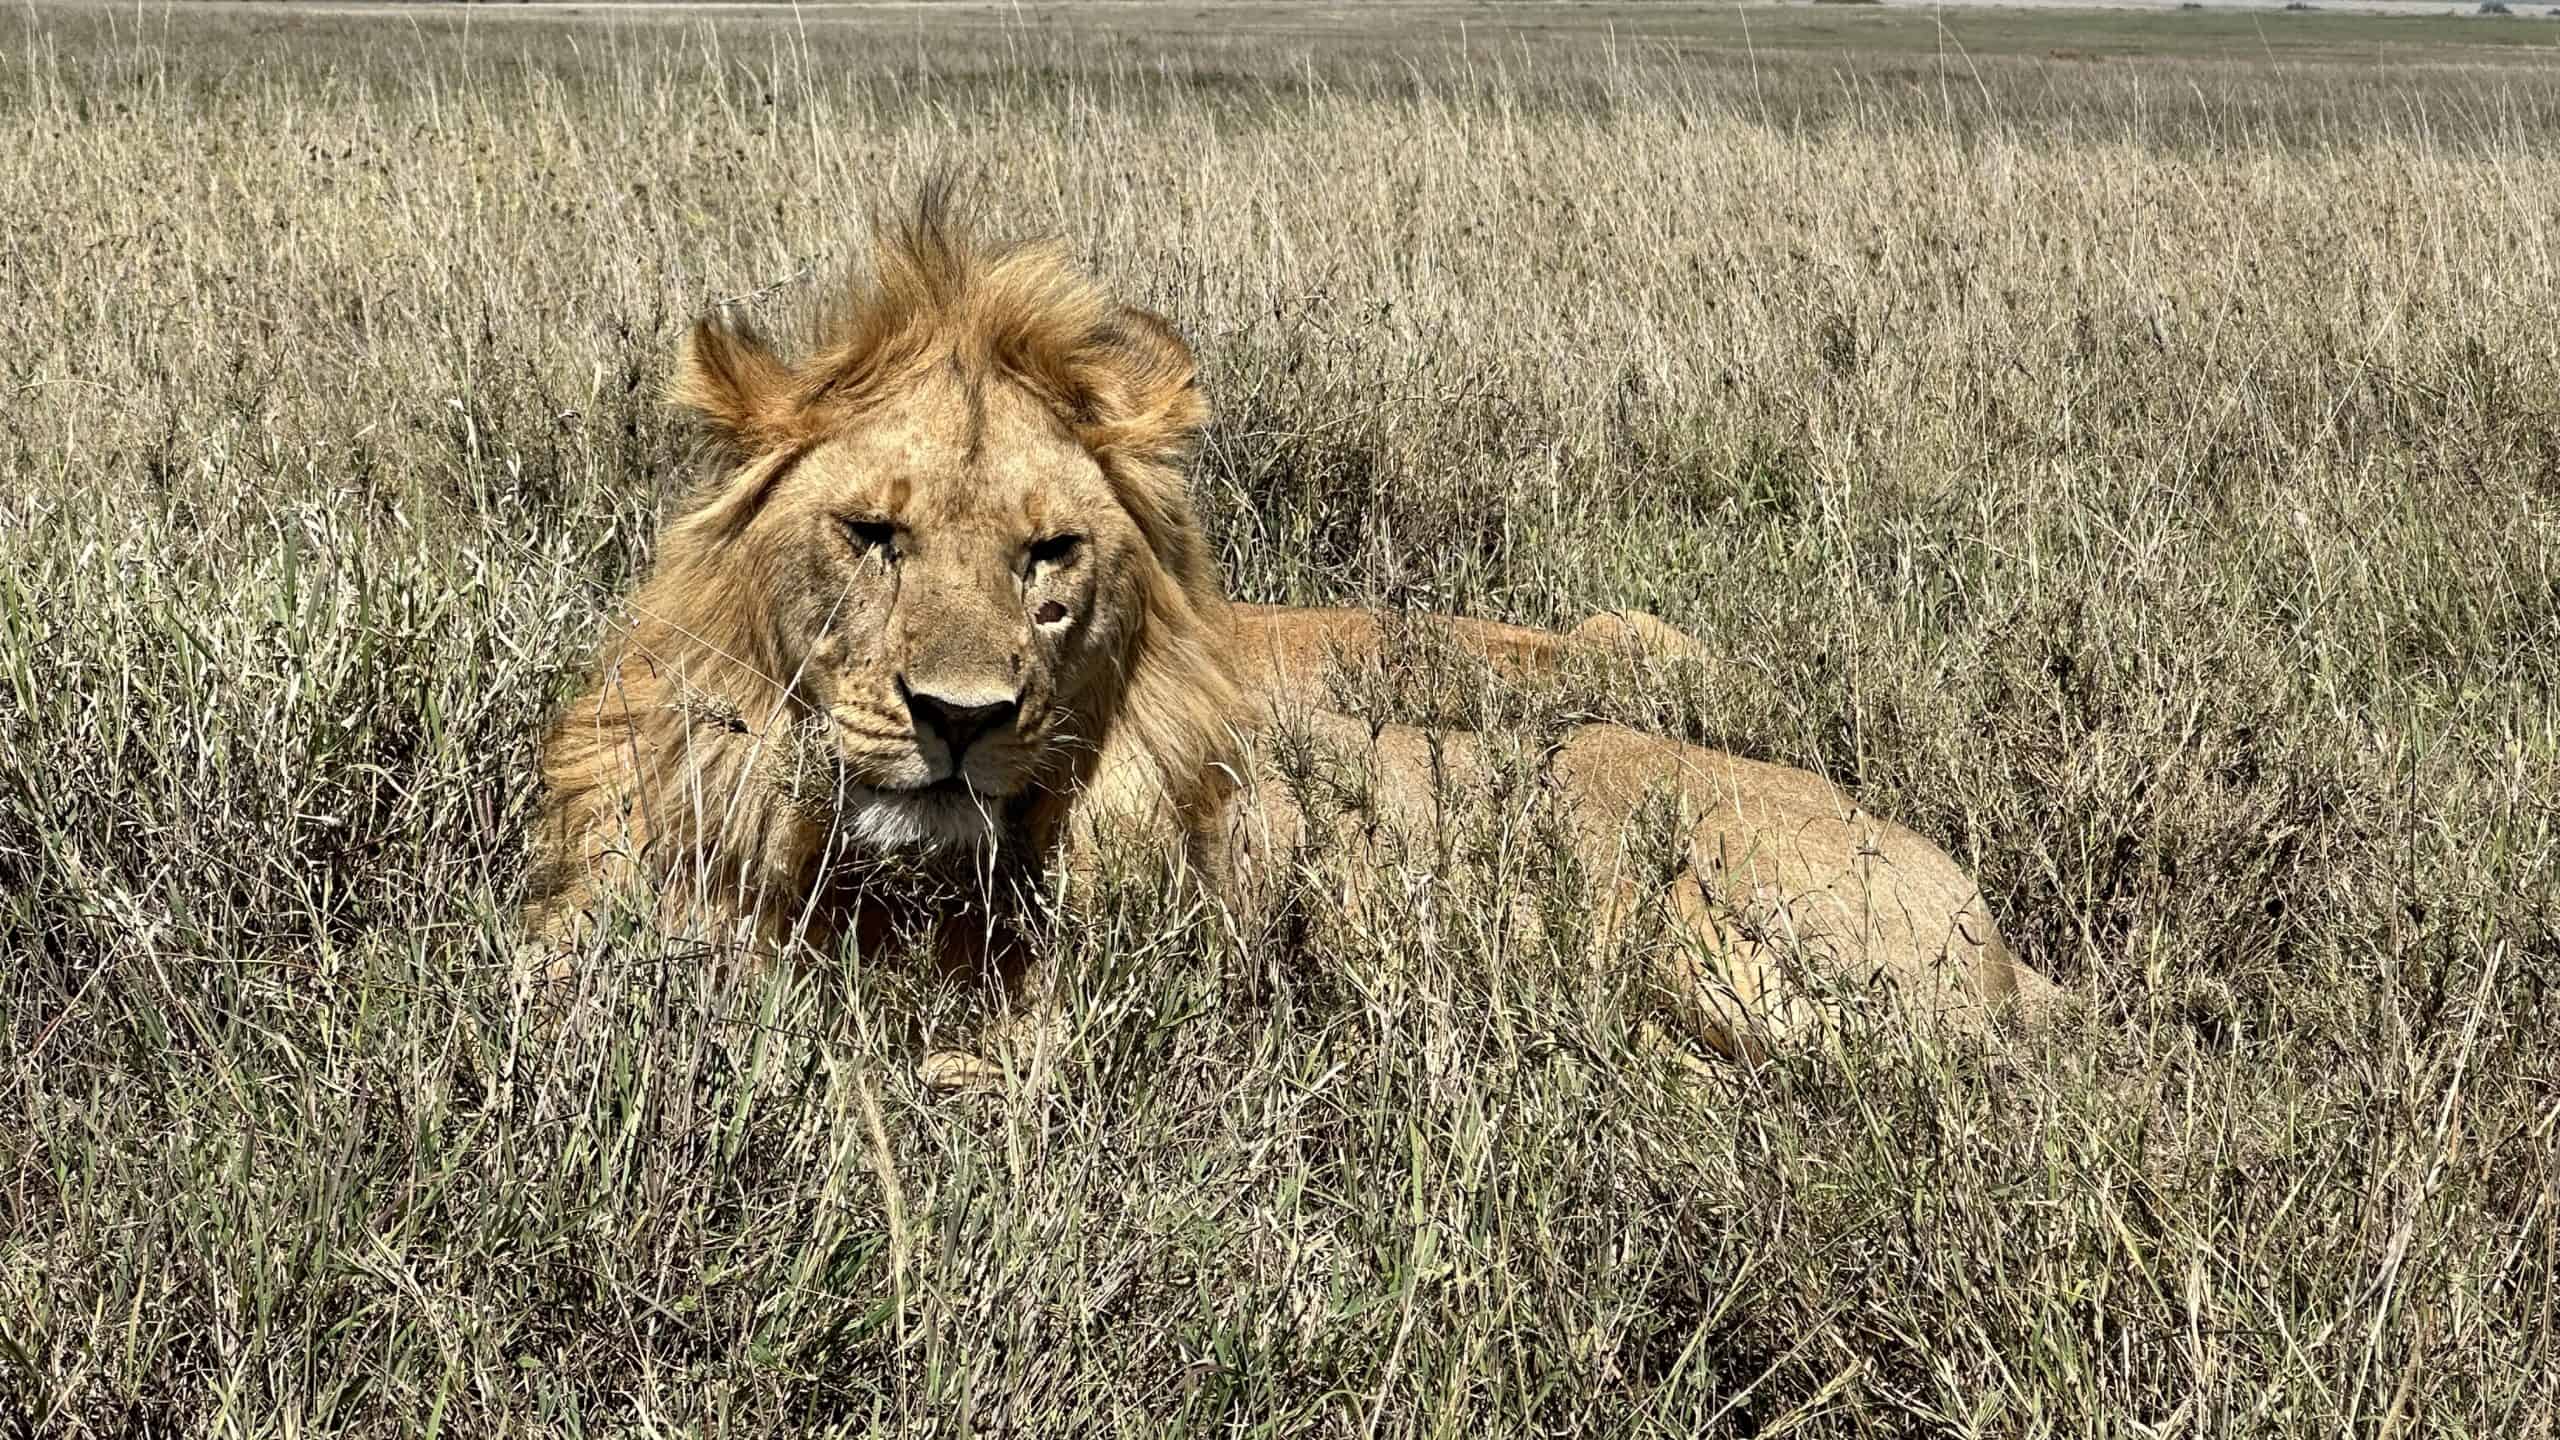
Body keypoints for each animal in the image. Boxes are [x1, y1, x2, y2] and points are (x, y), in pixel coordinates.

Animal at [526, 199, 2055, 1083]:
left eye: (1049, 557)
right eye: (871, 535)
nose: (960, 720)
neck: (872, 885)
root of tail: (2005, 944)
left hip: (1727, 936)